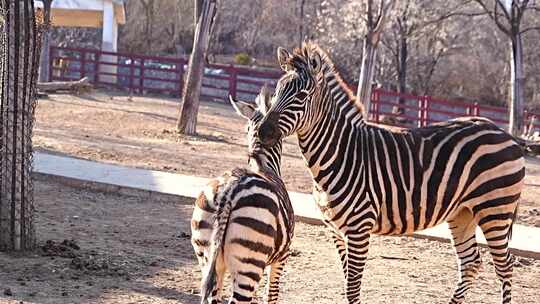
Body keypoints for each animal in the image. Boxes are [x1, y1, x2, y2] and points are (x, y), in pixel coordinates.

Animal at [191, 88, 294, 304]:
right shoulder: (281, 258)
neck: (263, 163)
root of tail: (230, 189)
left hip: (206, 256)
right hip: (249, 263)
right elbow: (272, 295)